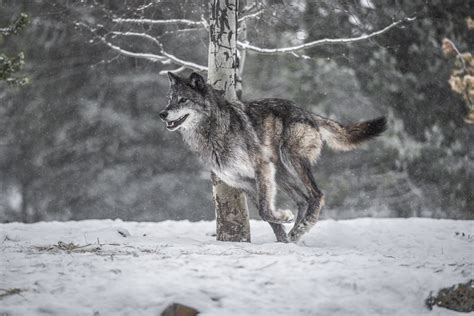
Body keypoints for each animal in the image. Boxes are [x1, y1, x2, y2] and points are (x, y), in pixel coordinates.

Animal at [161, 71, 386, 243]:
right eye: (169, 99)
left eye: (183, 100)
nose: (162, 114)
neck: (214, 131)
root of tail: (308, 113)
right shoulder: (244, 182)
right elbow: (266, 215)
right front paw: (282, 238)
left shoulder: (261, 167)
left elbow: (264, 210)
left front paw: (285, 220)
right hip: (280, 173)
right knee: (303, 200)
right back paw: (294, 236)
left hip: (290, 160)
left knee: (316, 195)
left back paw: (302, 228)